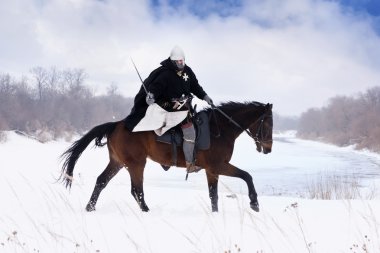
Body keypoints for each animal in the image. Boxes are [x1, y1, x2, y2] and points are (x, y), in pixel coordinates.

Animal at [60, 102, 274, 212]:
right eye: (268, 123)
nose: (268, 148)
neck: (220, 128)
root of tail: (116, 125)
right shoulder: (218, 166)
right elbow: (247, 176)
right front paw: (254, 203)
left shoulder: (212, 171)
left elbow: (214, 195)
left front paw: (215, 214)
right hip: (136, 164)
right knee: (136, 190)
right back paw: (146, 210)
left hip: (118, 162)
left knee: (101, 181)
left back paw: (90, 207)